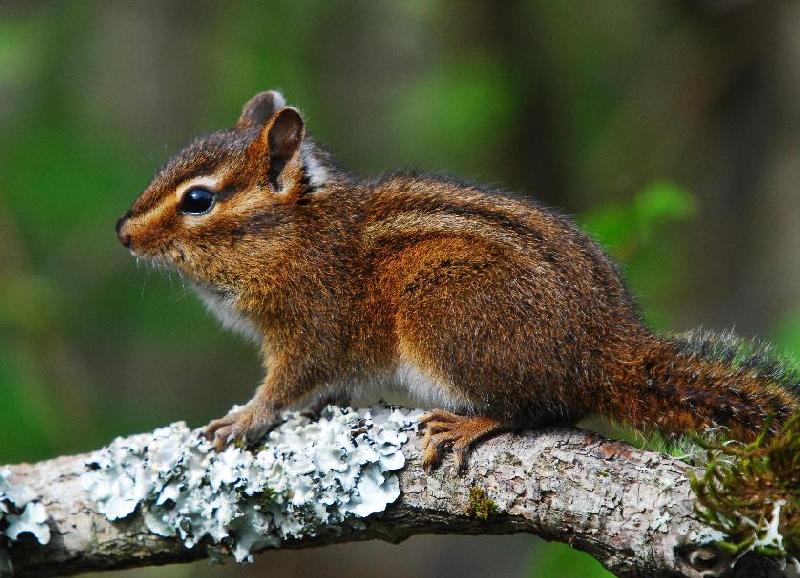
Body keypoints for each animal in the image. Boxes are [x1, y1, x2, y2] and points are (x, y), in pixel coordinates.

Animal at [116, 90, 800, 471]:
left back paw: (472, 422)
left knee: (542, 407)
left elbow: (289, 381)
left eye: (198, 199)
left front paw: (246, 416)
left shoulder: (310, 321)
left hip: (443, 312)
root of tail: (606, 348)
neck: (292, 232)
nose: (122, 232)